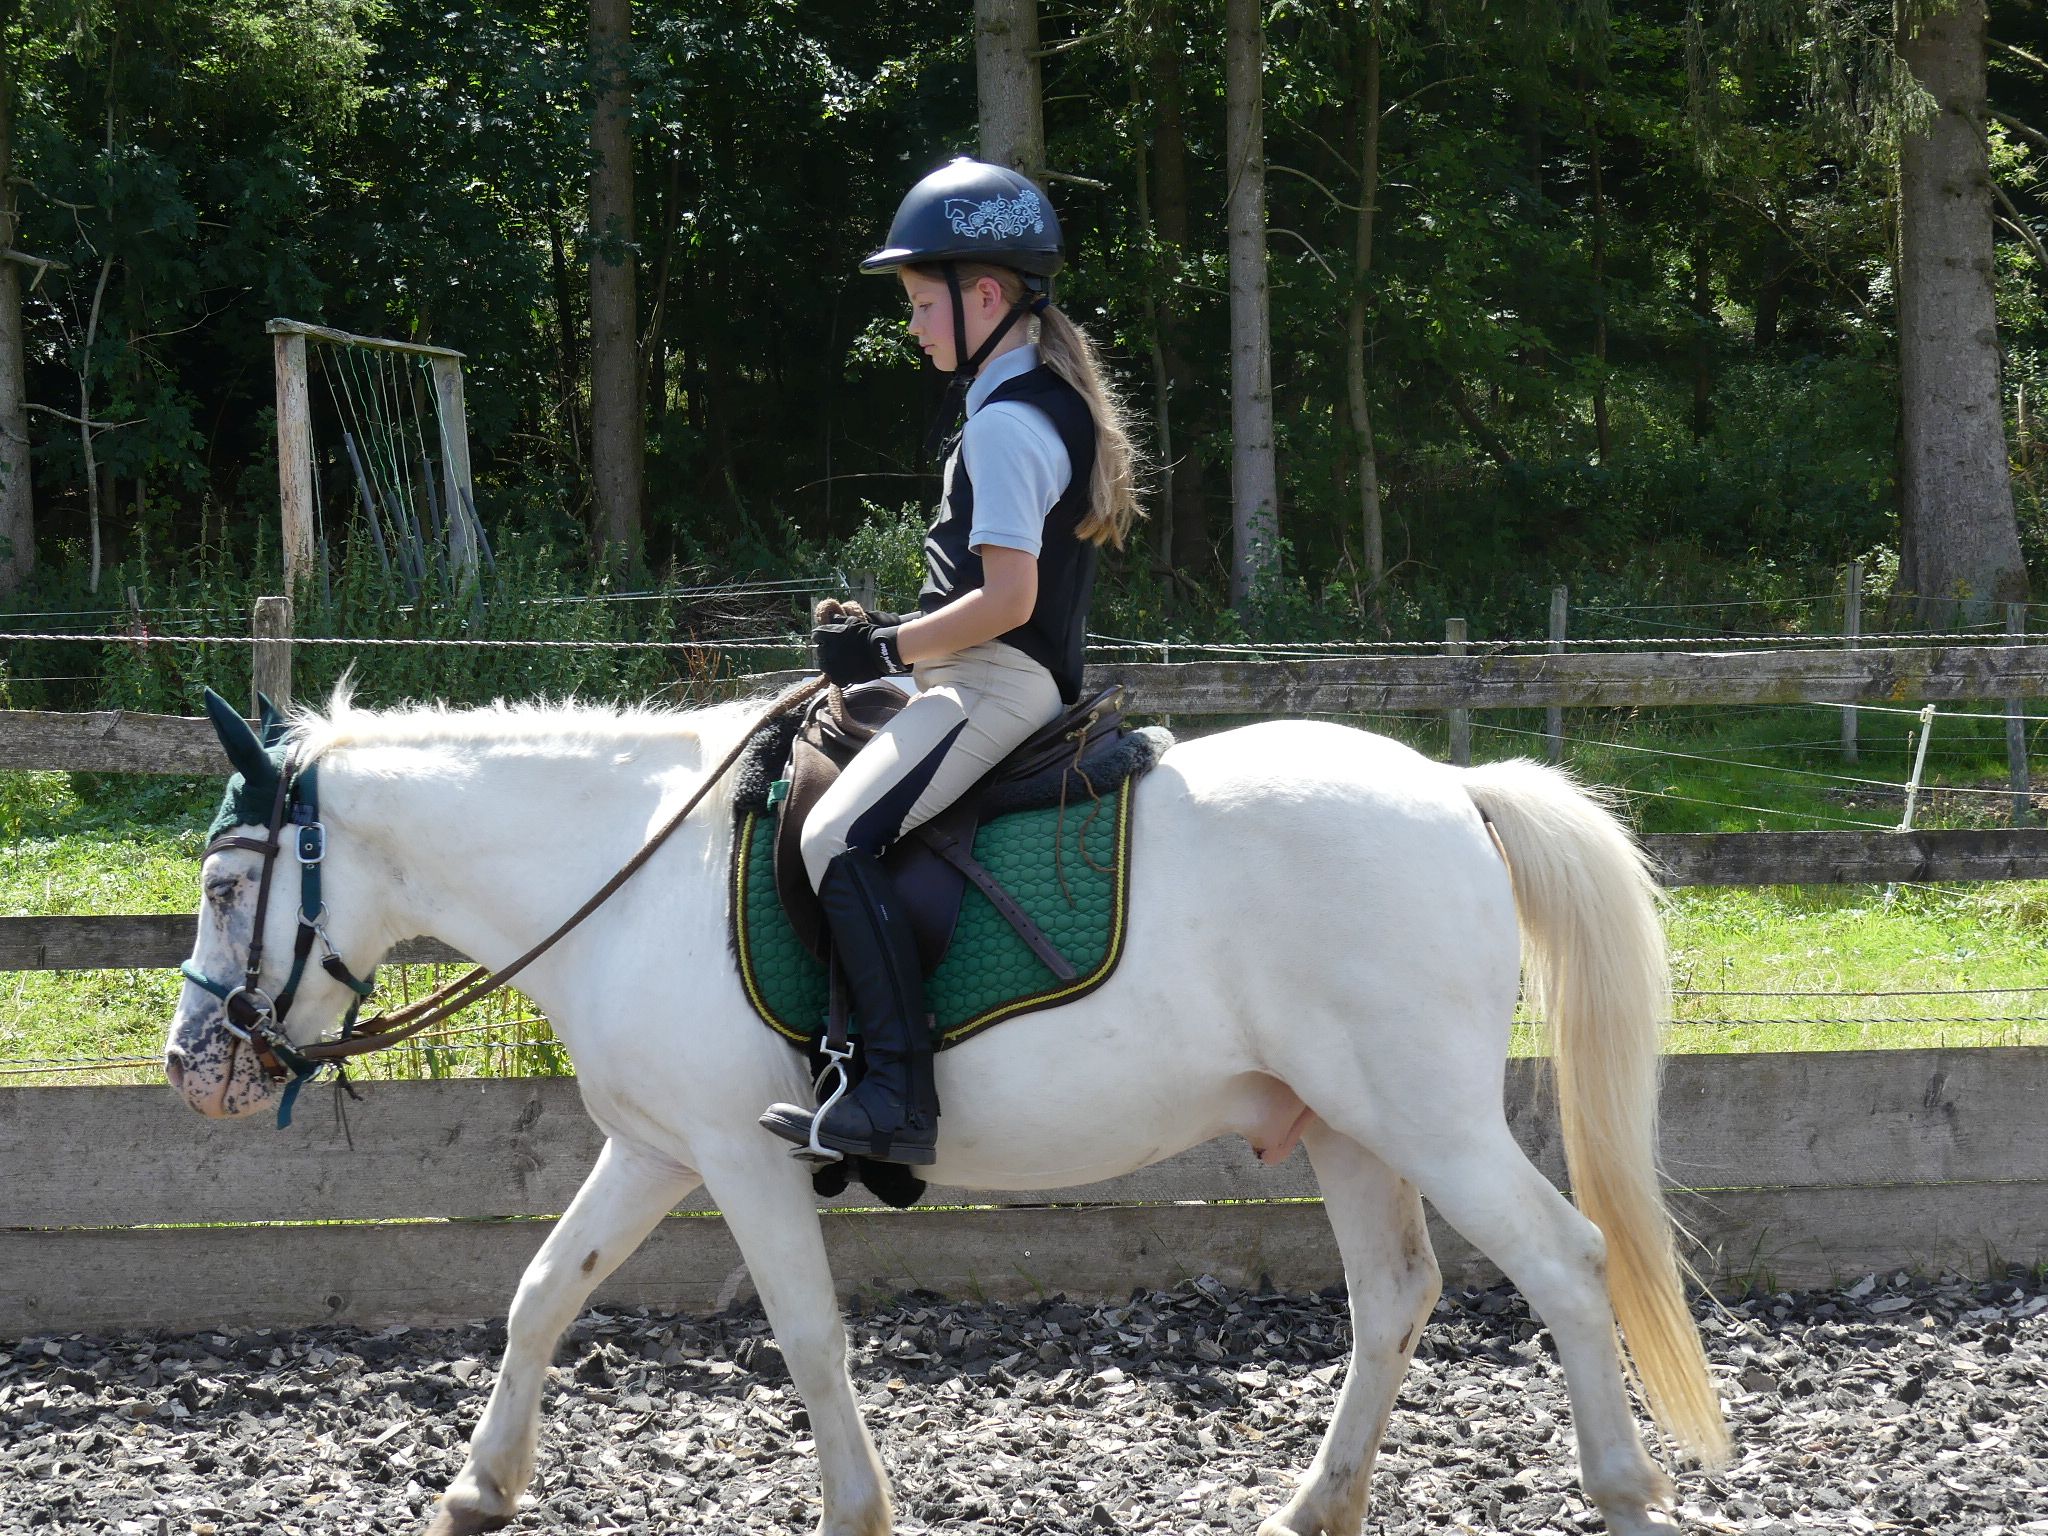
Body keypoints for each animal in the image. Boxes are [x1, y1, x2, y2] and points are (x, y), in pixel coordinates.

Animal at [163, 683, 1732, 1536]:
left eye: (230, 885)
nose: (195, 1067)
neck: (624, 865)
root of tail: (1453, 790)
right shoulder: (656, 1147)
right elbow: (544, 1290)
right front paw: (480, 1487)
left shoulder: (735, 1154)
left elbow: (805, 1333)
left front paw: (857, 1506)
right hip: (1345, 1123)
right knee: (1394, 1295)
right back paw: (1313, 1501)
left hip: (1425, 1118)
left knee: (1565, 1263)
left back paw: (1621, 1490)